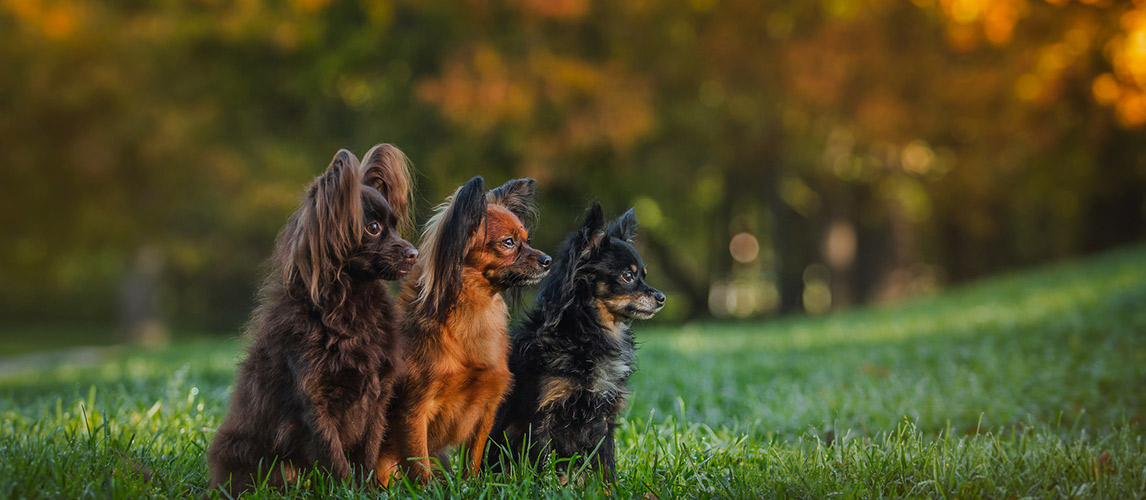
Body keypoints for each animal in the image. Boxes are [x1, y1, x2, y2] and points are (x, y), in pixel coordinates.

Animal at [209, 144, 417, 495]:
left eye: (395, 226)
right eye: (373, 228)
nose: (413, 253)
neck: (351, 302)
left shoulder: (378, 397)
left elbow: (368, 453)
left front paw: (367, 490)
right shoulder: (313, 404)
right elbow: (333, 455)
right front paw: (347, 490)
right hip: (269, 464)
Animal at [375, 176, 550, 483]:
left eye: (527, 241)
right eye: (508, 243)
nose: (548, 260)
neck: (473, 309)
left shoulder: (487, 408)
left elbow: (473, 461)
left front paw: (469, 485)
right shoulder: (413, 411)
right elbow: (420, 468)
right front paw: (426, 489)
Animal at [488, 201, 669, 479]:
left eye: (644, 276)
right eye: (628, 276)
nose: (661, 297)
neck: (590, 333)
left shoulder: (604, 418)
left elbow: (606, 464)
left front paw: (610, 487)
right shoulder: (539, 417)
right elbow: (542, 464)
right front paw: (545, 486)